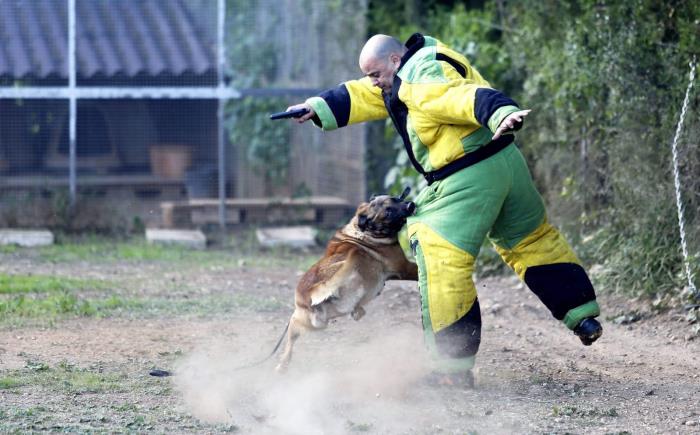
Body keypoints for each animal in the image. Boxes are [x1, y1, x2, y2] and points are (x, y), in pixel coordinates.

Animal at [274, 187, 416, 372]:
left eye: (396, 199)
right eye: (388, 212)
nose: (411, 204)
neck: (364, 231)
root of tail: (309, 291)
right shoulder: (405, 268)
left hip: (309, 322)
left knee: (291, 336)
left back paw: (283, 364)